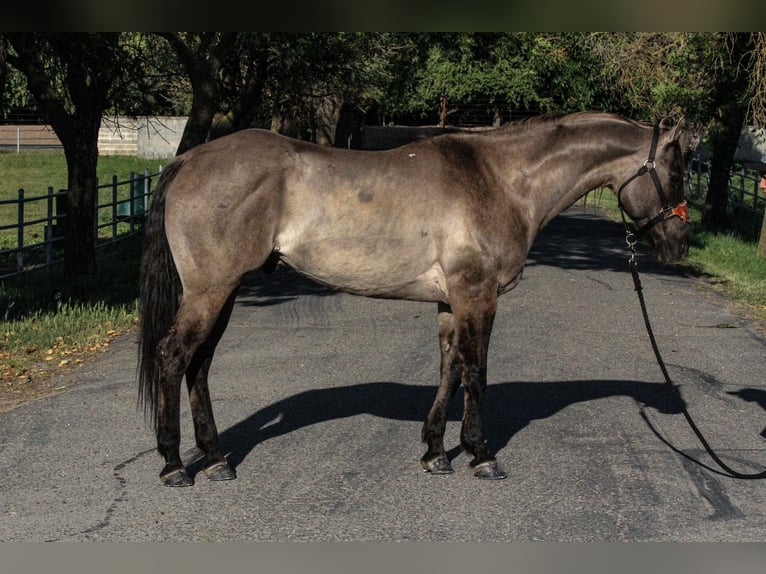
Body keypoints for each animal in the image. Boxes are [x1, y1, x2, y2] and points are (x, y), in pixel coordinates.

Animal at [138, 111, 696, 486]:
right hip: (211, 291)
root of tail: (188, 158)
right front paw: (481, 454)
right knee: (173, 356)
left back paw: (215, 460)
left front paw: (436, 452)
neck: (502, 179)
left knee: (199, 365)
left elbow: (450, 369)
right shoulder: (478, 296)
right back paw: (174, 465)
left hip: (225, 291)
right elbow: (476, 372)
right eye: (676, 171)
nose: (678, 244)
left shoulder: (452, 302)